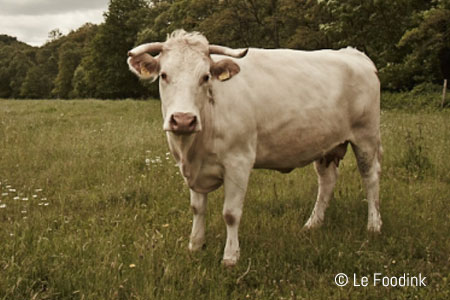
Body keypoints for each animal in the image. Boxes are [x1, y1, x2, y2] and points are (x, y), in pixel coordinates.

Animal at [127, 29, 384, 266]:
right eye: (164, 75)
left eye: (205, 76)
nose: (183, 120)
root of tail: (352, 53)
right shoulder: (192, 168)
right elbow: (197, 208)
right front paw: (195, 246)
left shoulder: (239, 161)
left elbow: (231, 214)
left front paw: (230, 257)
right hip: (326, 144)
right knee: (327, 181)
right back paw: (313, 224)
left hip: (366, 136)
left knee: (370, 177)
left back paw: (374, 225)